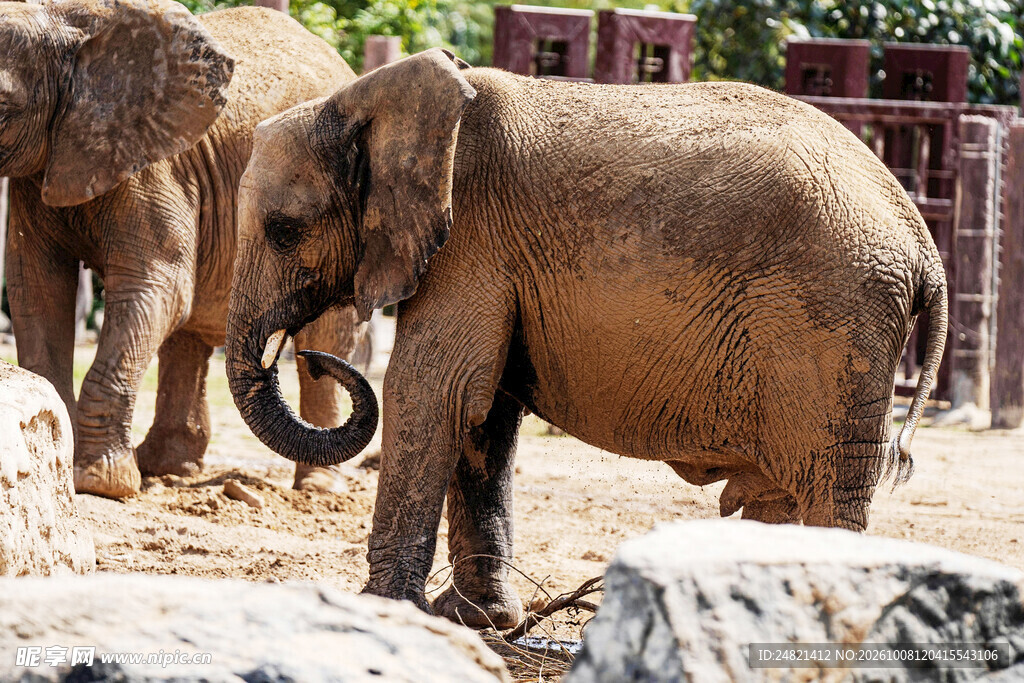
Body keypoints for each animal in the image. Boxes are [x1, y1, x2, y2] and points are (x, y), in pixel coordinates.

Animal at [0, 0, 368, 498]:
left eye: (1, 105)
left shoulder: (154, 165)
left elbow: (154, 288)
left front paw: (98, 483)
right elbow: (37, 288)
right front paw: (65, 462)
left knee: (325, 337)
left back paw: (318, 489)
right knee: (188, 333)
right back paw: (167, 468)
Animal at [224, 50, 948, 628]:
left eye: (284, 230)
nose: (311, 353)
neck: (368, 98)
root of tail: (924, 249)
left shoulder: (470, 241)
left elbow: (434, 393)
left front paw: (385, 612)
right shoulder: (494, 257)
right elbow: (483, 413)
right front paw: (479, 620)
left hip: (834, 323)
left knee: (828, 487)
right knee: (782, 494)